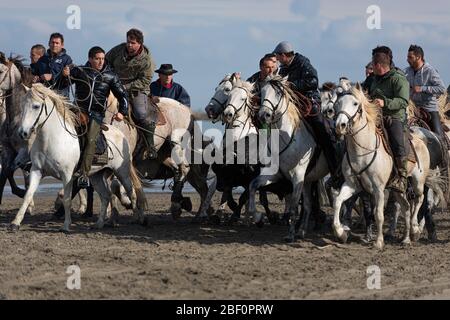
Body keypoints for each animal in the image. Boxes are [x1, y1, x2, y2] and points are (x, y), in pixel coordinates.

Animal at [10, 84, 146, 231]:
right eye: (22, 105)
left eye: (36, 106)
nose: (22, 132)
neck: (51, 139)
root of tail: (121, 134)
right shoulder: (37, 171)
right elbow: (28, 196)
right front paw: (15, 223)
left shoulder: (67, 175)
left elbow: (67, 199)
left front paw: (66, 225)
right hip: (96, 176)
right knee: (106, 197)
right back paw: (99, 224)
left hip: (122, 172)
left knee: (131, 193)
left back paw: (137, 219)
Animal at [334, 84, 442, 249]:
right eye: (337, 103)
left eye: (355, 103)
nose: (340, 126)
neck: (363, 150)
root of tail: (423, 140)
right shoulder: (352, 185)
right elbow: (338, 201)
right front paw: (341, 233)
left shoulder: (378, 189)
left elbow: (378, 214)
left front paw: (379, 241)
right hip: (397, 189)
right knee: (406, 207)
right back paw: (406, 239)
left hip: (418, 182)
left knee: (419, 200)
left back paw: (415, 230)